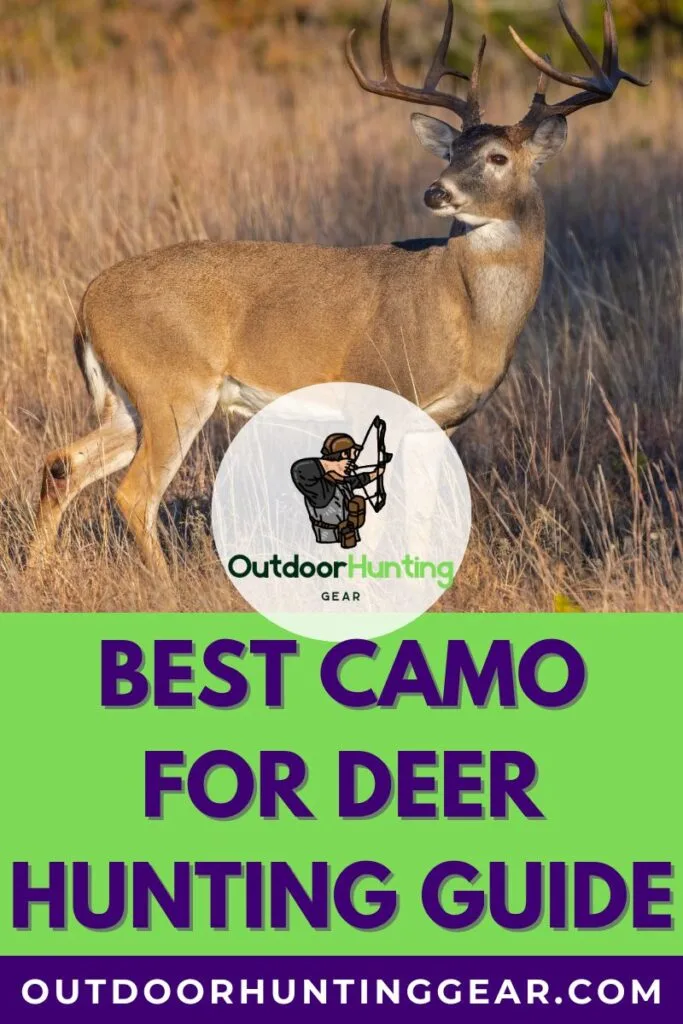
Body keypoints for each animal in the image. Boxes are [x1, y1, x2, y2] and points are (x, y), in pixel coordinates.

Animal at [29, 1, 646, 580]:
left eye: (497, 157)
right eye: (451, 153)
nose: (436, 191)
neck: (464, 314)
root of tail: (86, 304)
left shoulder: (440, 422)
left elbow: (421, 519)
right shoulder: (378, 388)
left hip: (127, 398)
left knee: (63, 463)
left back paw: (40, 572)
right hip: (173, 386)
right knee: (134, 494)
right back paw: (165, 588)